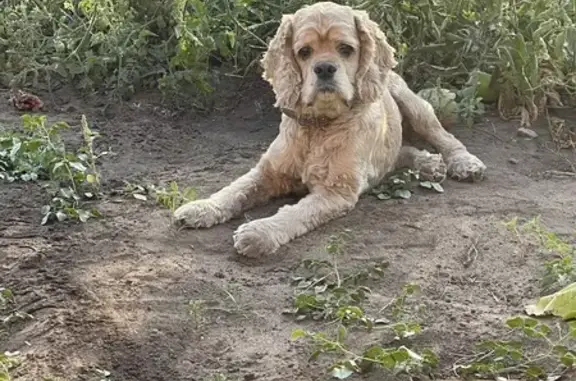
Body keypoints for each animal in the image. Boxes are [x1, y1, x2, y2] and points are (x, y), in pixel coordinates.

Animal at [174, 1, 486, 256]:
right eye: (304, 52)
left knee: (443, 136)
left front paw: (258, 232)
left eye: (346, 49)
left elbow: (294, 213)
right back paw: (428, 164)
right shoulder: (268, 172)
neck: (319, 126)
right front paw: (201, 208)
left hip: (413, 103)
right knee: (400, 152)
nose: (324, 68)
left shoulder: (335, 192)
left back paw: (464, 163)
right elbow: (233, 190)